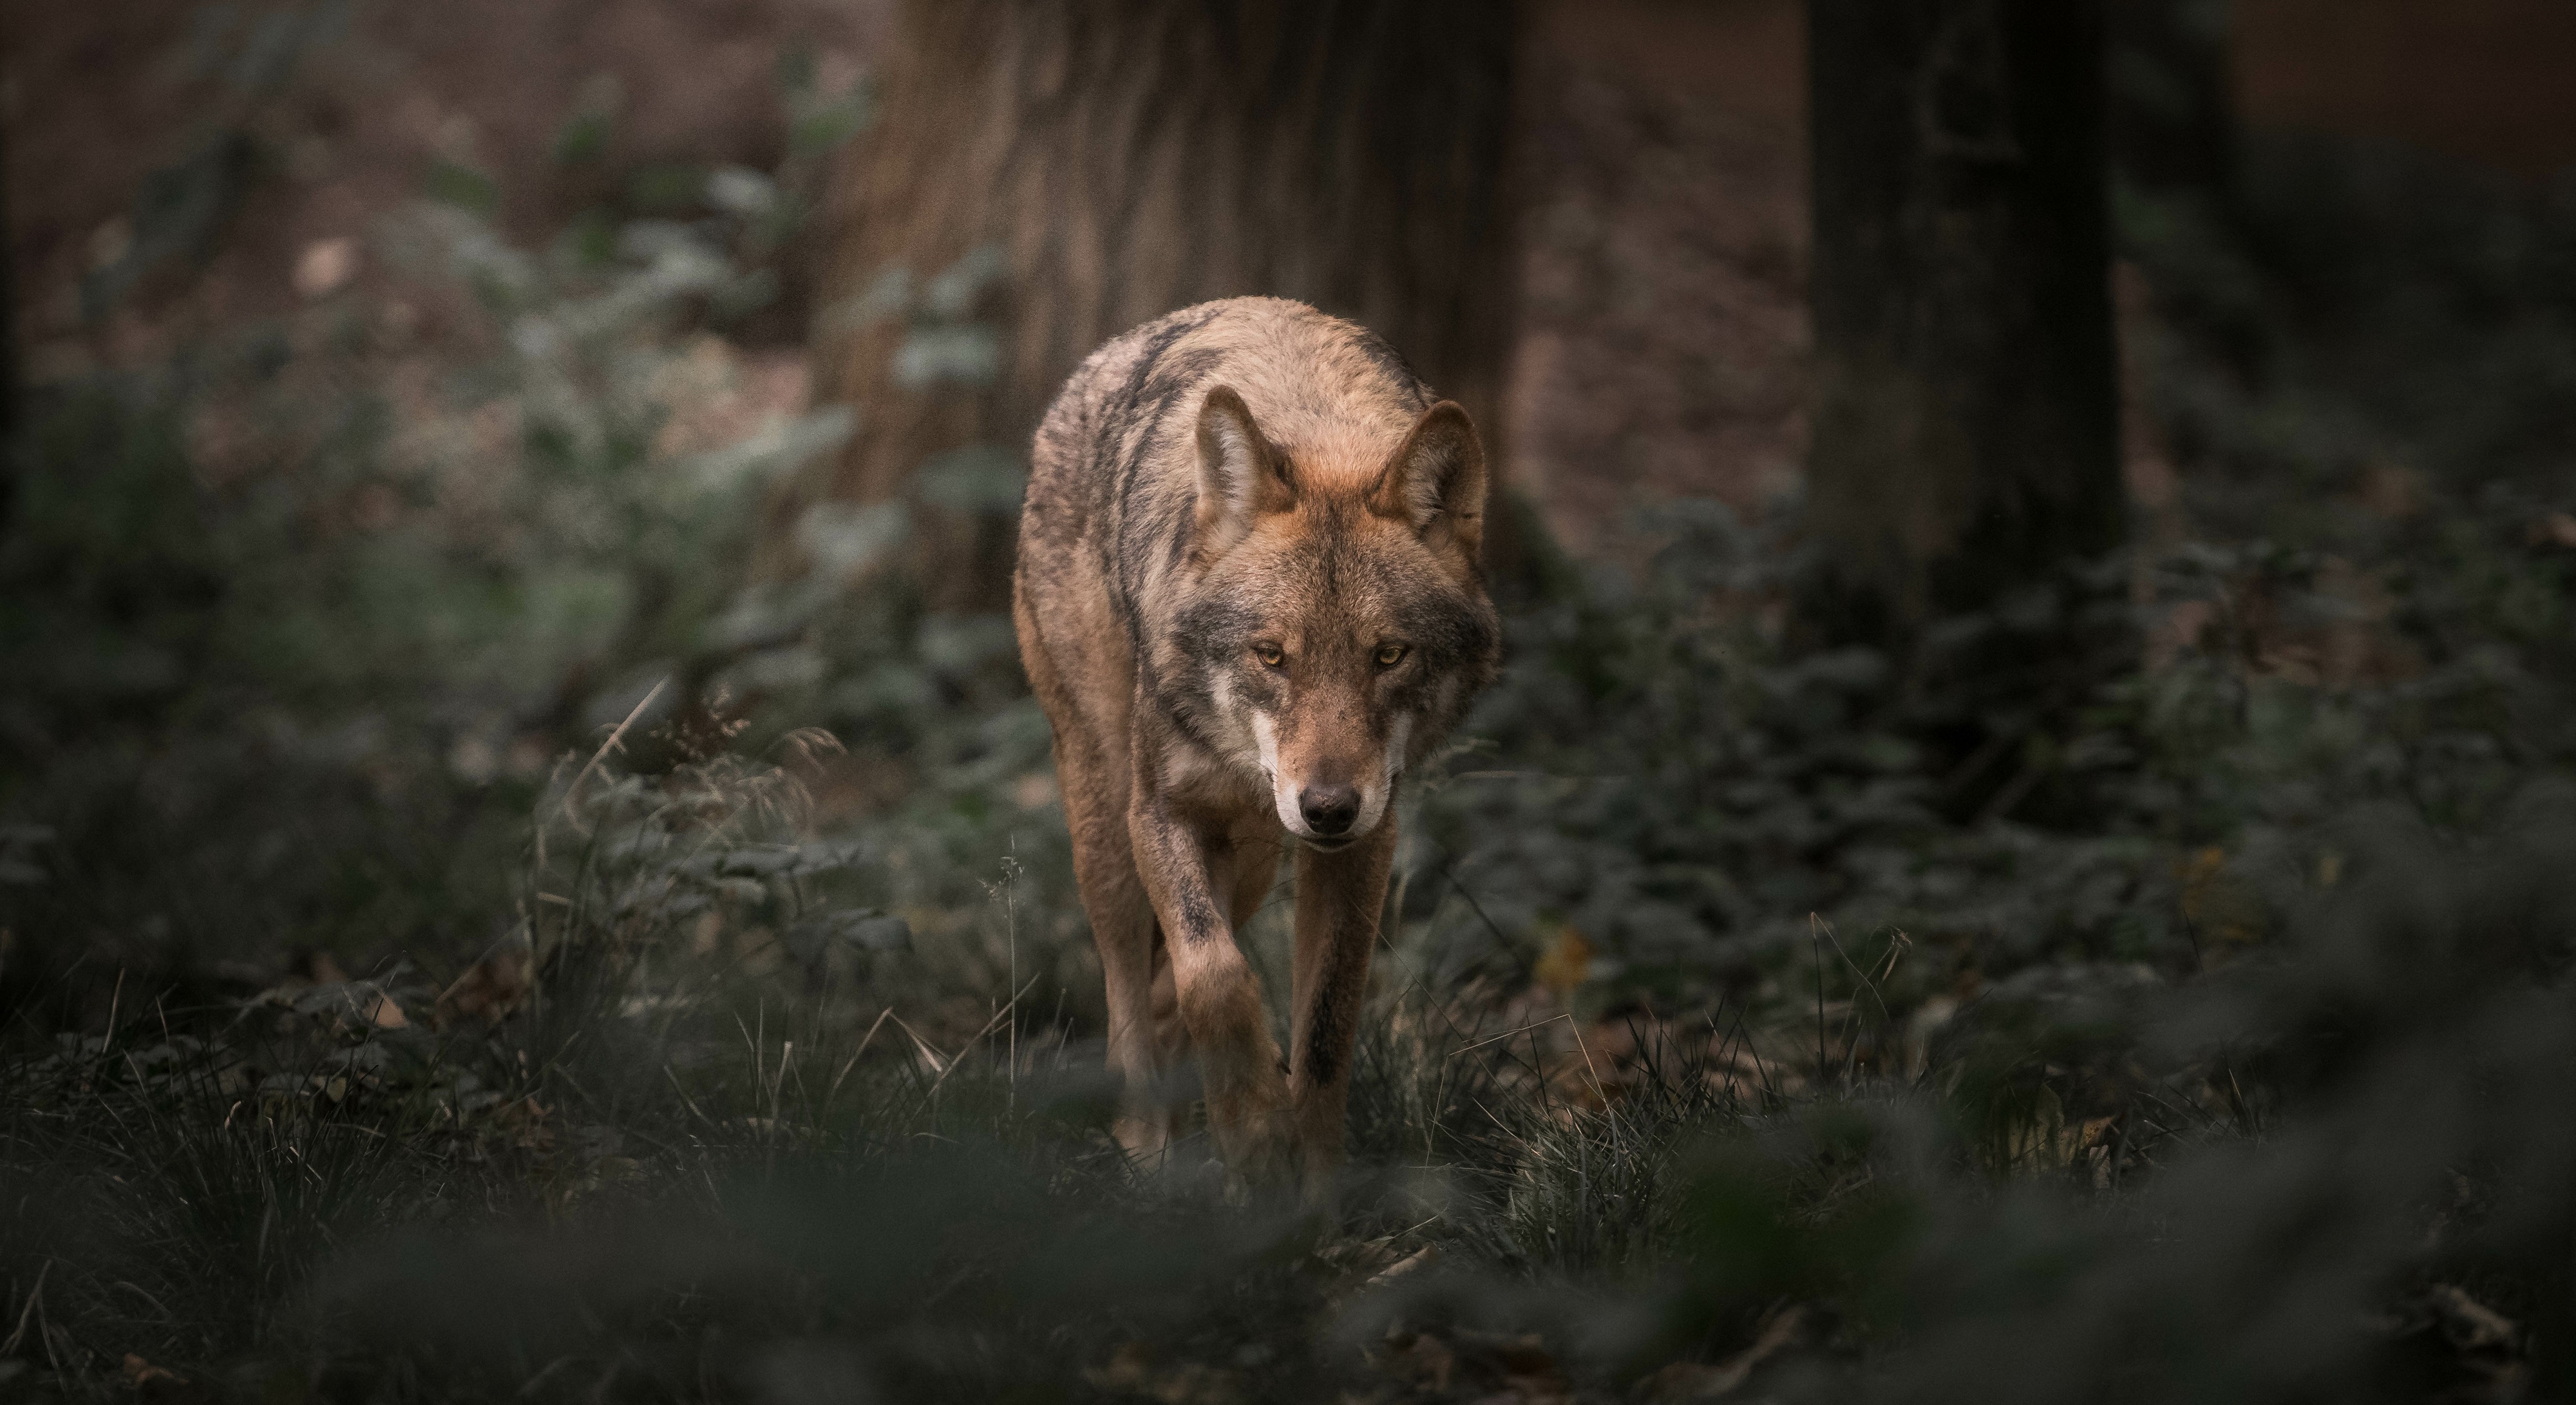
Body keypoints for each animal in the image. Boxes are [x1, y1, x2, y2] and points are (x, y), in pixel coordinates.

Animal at [1005, 298, 1494, 1194]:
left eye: (1388, 655)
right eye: (1271, 655)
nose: (1329, 806)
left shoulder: (1364, 842)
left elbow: (1325, 1025)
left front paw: (1313, 1191)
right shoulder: (1162, 811)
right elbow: (1216, 976)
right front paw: (1256, 1136)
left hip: (1260, 850)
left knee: (1169, 984)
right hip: (1106, 820)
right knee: (1129, 992)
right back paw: (1147, 1150)